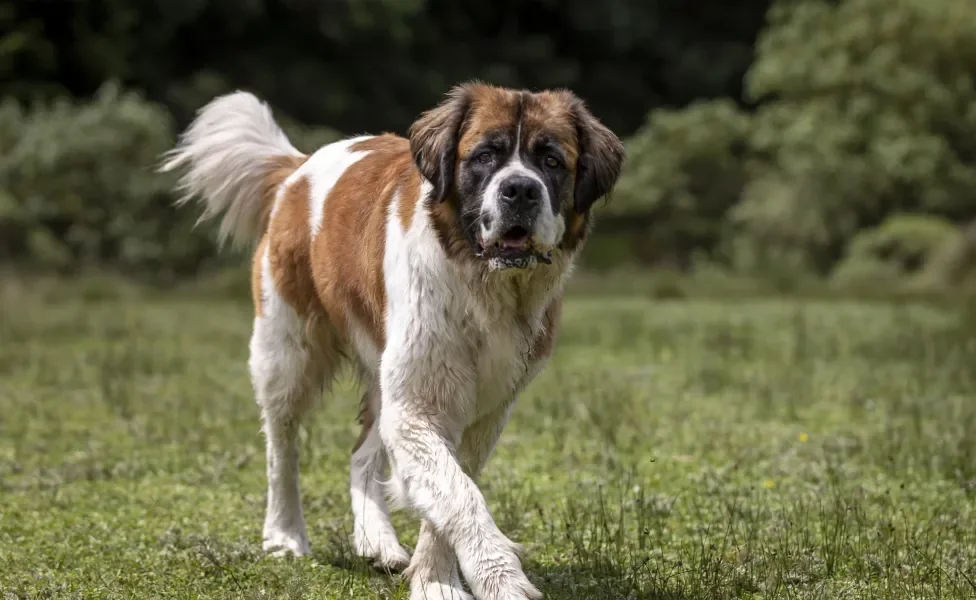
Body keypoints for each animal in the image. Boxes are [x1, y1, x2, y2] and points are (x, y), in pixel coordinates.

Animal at [157, 81, 620, 600]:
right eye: (485, 156)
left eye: (552, 161)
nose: (519, 188)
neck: (485, 288)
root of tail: (298, 167)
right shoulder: (417, 405)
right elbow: (460, 494)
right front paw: (497, 579)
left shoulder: (484, 411)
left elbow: (451, 488)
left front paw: (435, 579)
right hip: (287, 351)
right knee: (282, 445)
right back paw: (284, 534)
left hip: (382, 372)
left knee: (362, 455)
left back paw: (375, 540)